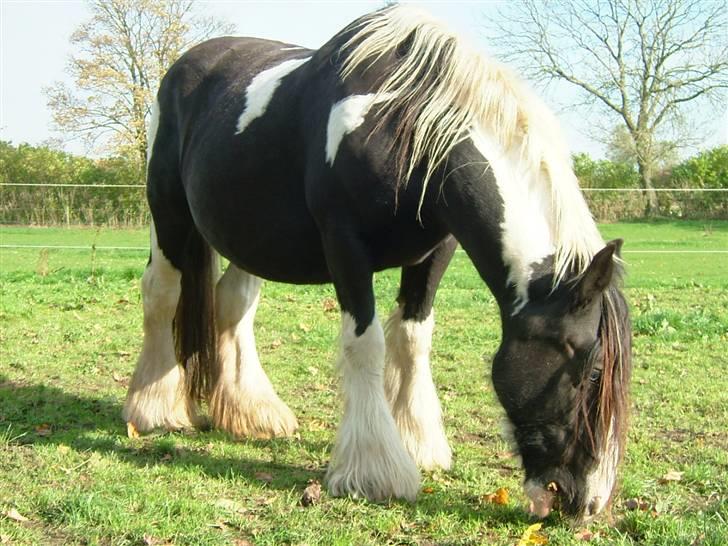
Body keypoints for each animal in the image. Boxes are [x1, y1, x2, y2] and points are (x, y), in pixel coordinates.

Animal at [123, 6, 632, 520]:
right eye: (591, 371)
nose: (589, 502)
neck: (405, 125)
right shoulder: (345, 245)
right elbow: (365, 344)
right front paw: (375, 470)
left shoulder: (436, 252)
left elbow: (413, 338)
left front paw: (420, 443)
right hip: (168, 214)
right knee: (161, 294)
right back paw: (155, 409)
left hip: (247, 235)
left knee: (234, 302)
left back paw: (253, 412)